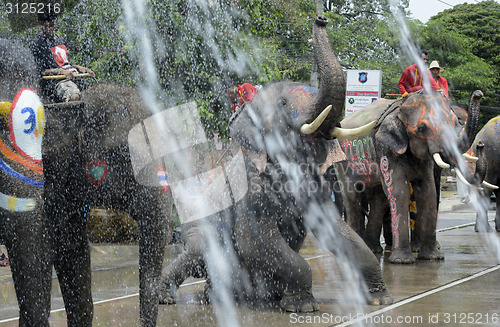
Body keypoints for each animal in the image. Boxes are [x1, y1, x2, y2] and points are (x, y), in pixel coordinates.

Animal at [158, 15, 392, 312]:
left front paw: (381, 299)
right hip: (196, 228)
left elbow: (335, 229)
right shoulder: (248, 185)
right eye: (282, 103)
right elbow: (255, 241)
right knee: (197, 252)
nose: (321, 18)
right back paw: (170, 297)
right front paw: (304, 306)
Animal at [338, 89, 482, 264]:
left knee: (379, 200)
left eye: (457, 123)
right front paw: (402, 261)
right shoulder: (386, 148)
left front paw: (433, 258)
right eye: (421, 128)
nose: (478, 93)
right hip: (343, 160)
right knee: (352, 196)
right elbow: (400, 191)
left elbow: (429, 192)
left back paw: (373, 249)